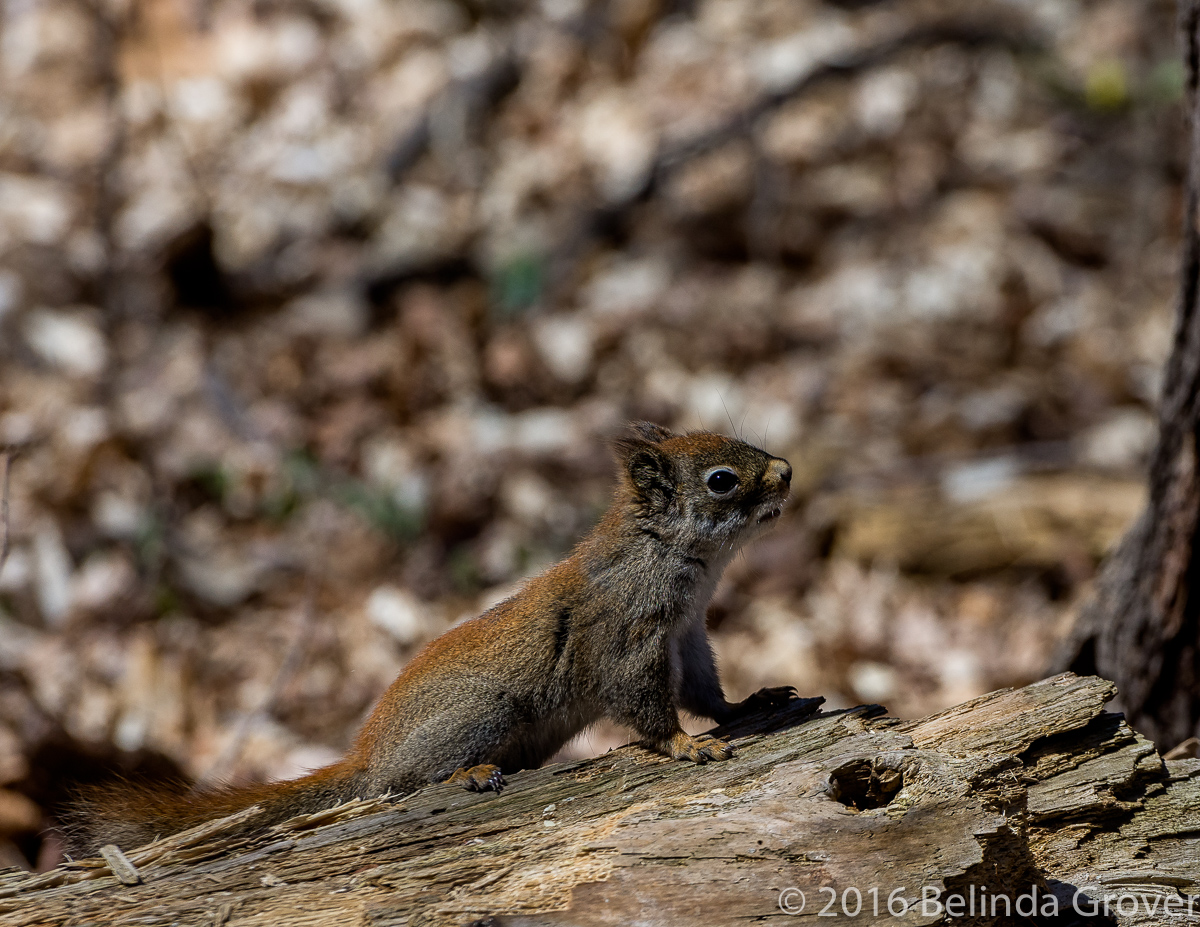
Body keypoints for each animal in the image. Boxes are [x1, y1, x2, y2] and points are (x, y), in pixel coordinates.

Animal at [66, 422, 794, 855]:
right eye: (722, 480)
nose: (787, 470)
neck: (669, 553)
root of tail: (371, 757)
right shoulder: (627, 634)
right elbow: (641, 700)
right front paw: (682, 744)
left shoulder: (688, 633)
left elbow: (705, 689)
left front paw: (746, 703)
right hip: (482, 713)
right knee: (411, 782)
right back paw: (464, 773)